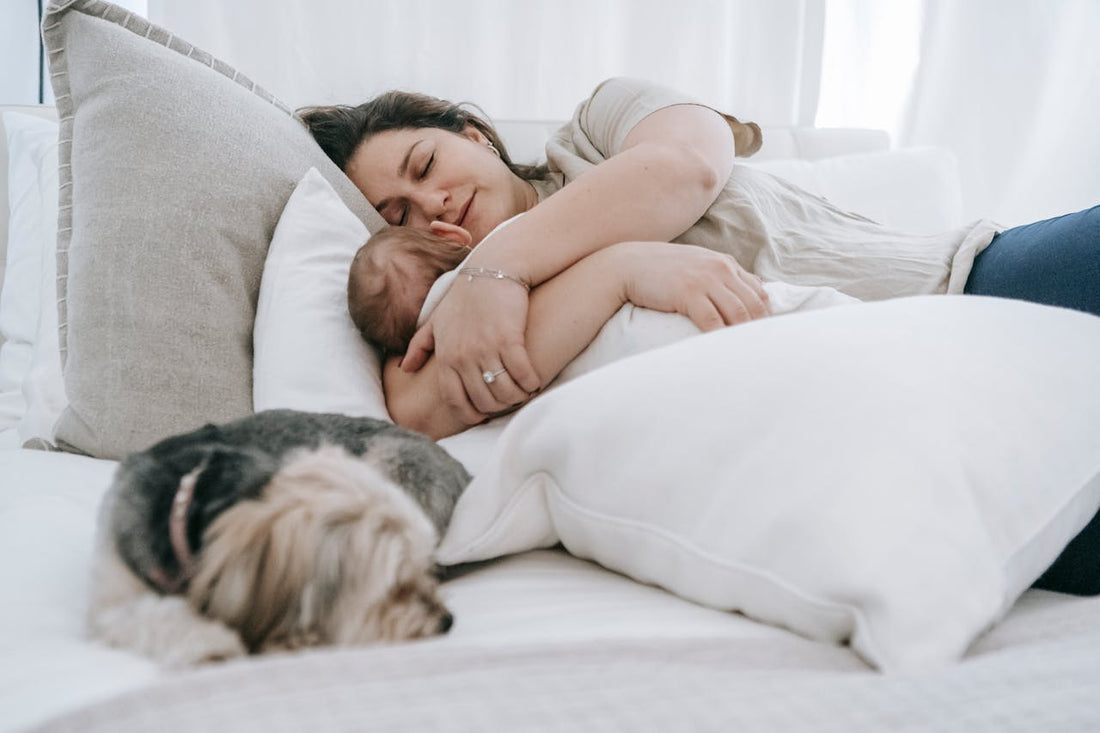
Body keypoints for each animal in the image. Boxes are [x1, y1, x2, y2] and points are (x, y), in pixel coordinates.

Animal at [82, 407, 468, 664]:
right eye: (394, 584)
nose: (447, 621)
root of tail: (462, 470)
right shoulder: (111, 596)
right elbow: (143, 615)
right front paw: (208, 640)